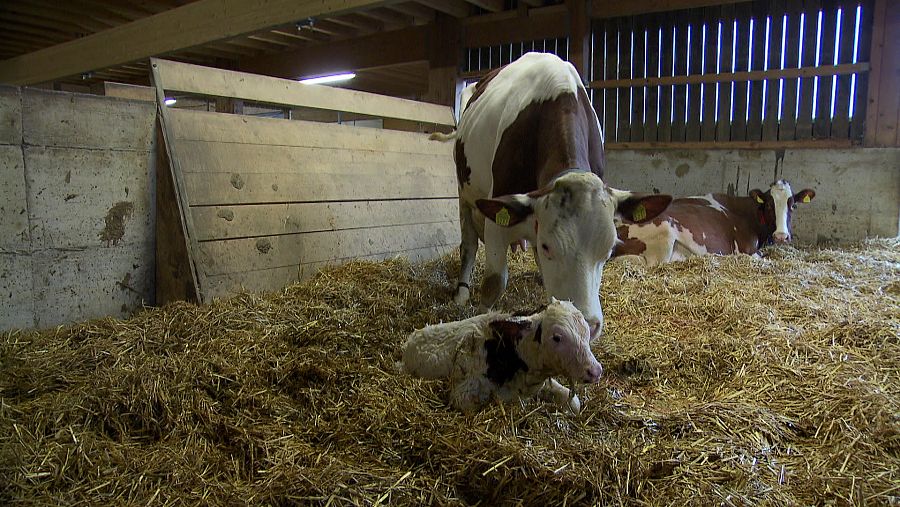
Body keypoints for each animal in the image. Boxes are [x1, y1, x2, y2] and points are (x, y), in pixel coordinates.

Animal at [442, 51, 668, 340]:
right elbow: (494, 283)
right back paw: (461, 292)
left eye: (609, 252)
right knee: (469, 245)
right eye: (548, 245)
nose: (586, 323)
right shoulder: (497, 217)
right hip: (465, 195)